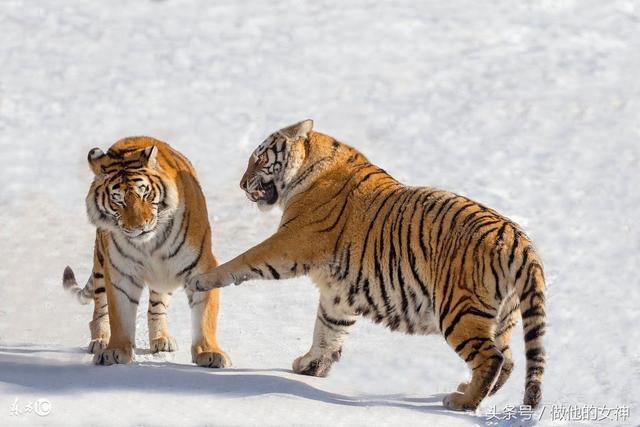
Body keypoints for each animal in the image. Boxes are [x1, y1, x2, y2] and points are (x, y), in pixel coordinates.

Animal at [62, 135, 231, 370]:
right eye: (118, 199)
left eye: (145, 194)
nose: (139, 227)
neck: (149, 244)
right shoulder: (120, 272)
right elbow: (119, 314)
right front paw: (115, 350)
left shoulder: (202, 268)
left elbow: (205, 315)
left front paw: (209, 352)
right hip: (101, 265)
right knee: (100, 308)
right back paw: (100, 340)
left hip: (165, 275)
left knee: (156, 306)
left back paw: (162, 339)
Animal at [188, 119, 548, 412]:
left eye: (259, 158)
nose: (241, 184)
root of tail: (519, 239)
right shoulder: (338, 292)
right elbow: (327, 329)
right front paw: (311, 366)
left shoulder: (289, 243)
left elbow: (245, 258)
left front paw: (202, 279)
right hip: (502, 316)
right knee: (509, 360)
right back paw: (469, 391)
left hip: (459, 310)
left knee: (492, 357)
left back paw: (463, 401)